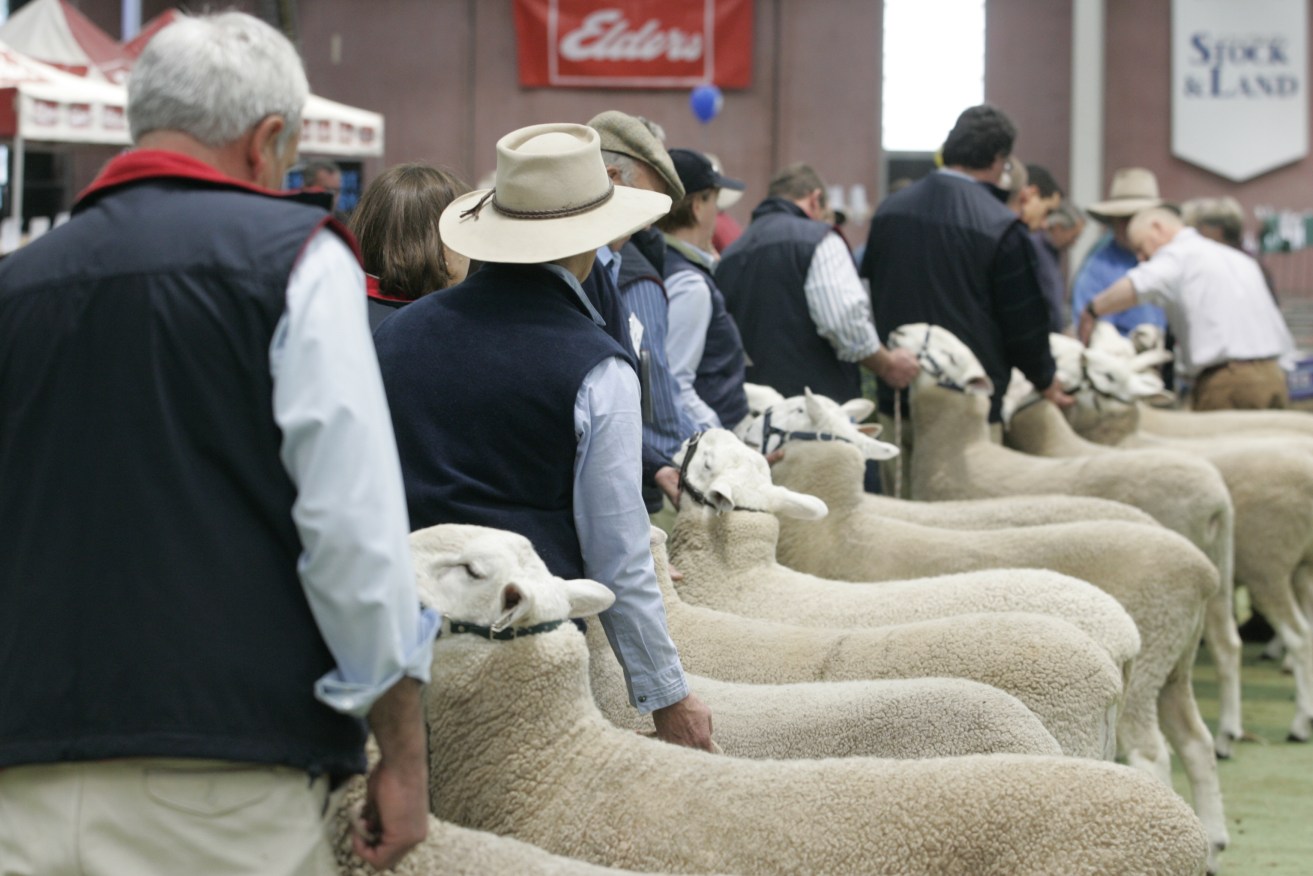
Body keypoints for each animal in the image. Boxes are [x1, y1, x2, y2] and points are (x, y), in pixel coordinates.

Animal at [766, 438, 1228, 861]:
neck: (841, 532)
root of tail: (1205, 573)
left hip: (1148, 655)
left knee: (1152, 753)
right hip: (1174, 663)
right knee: (1194, 739)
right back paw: (1213, 838)